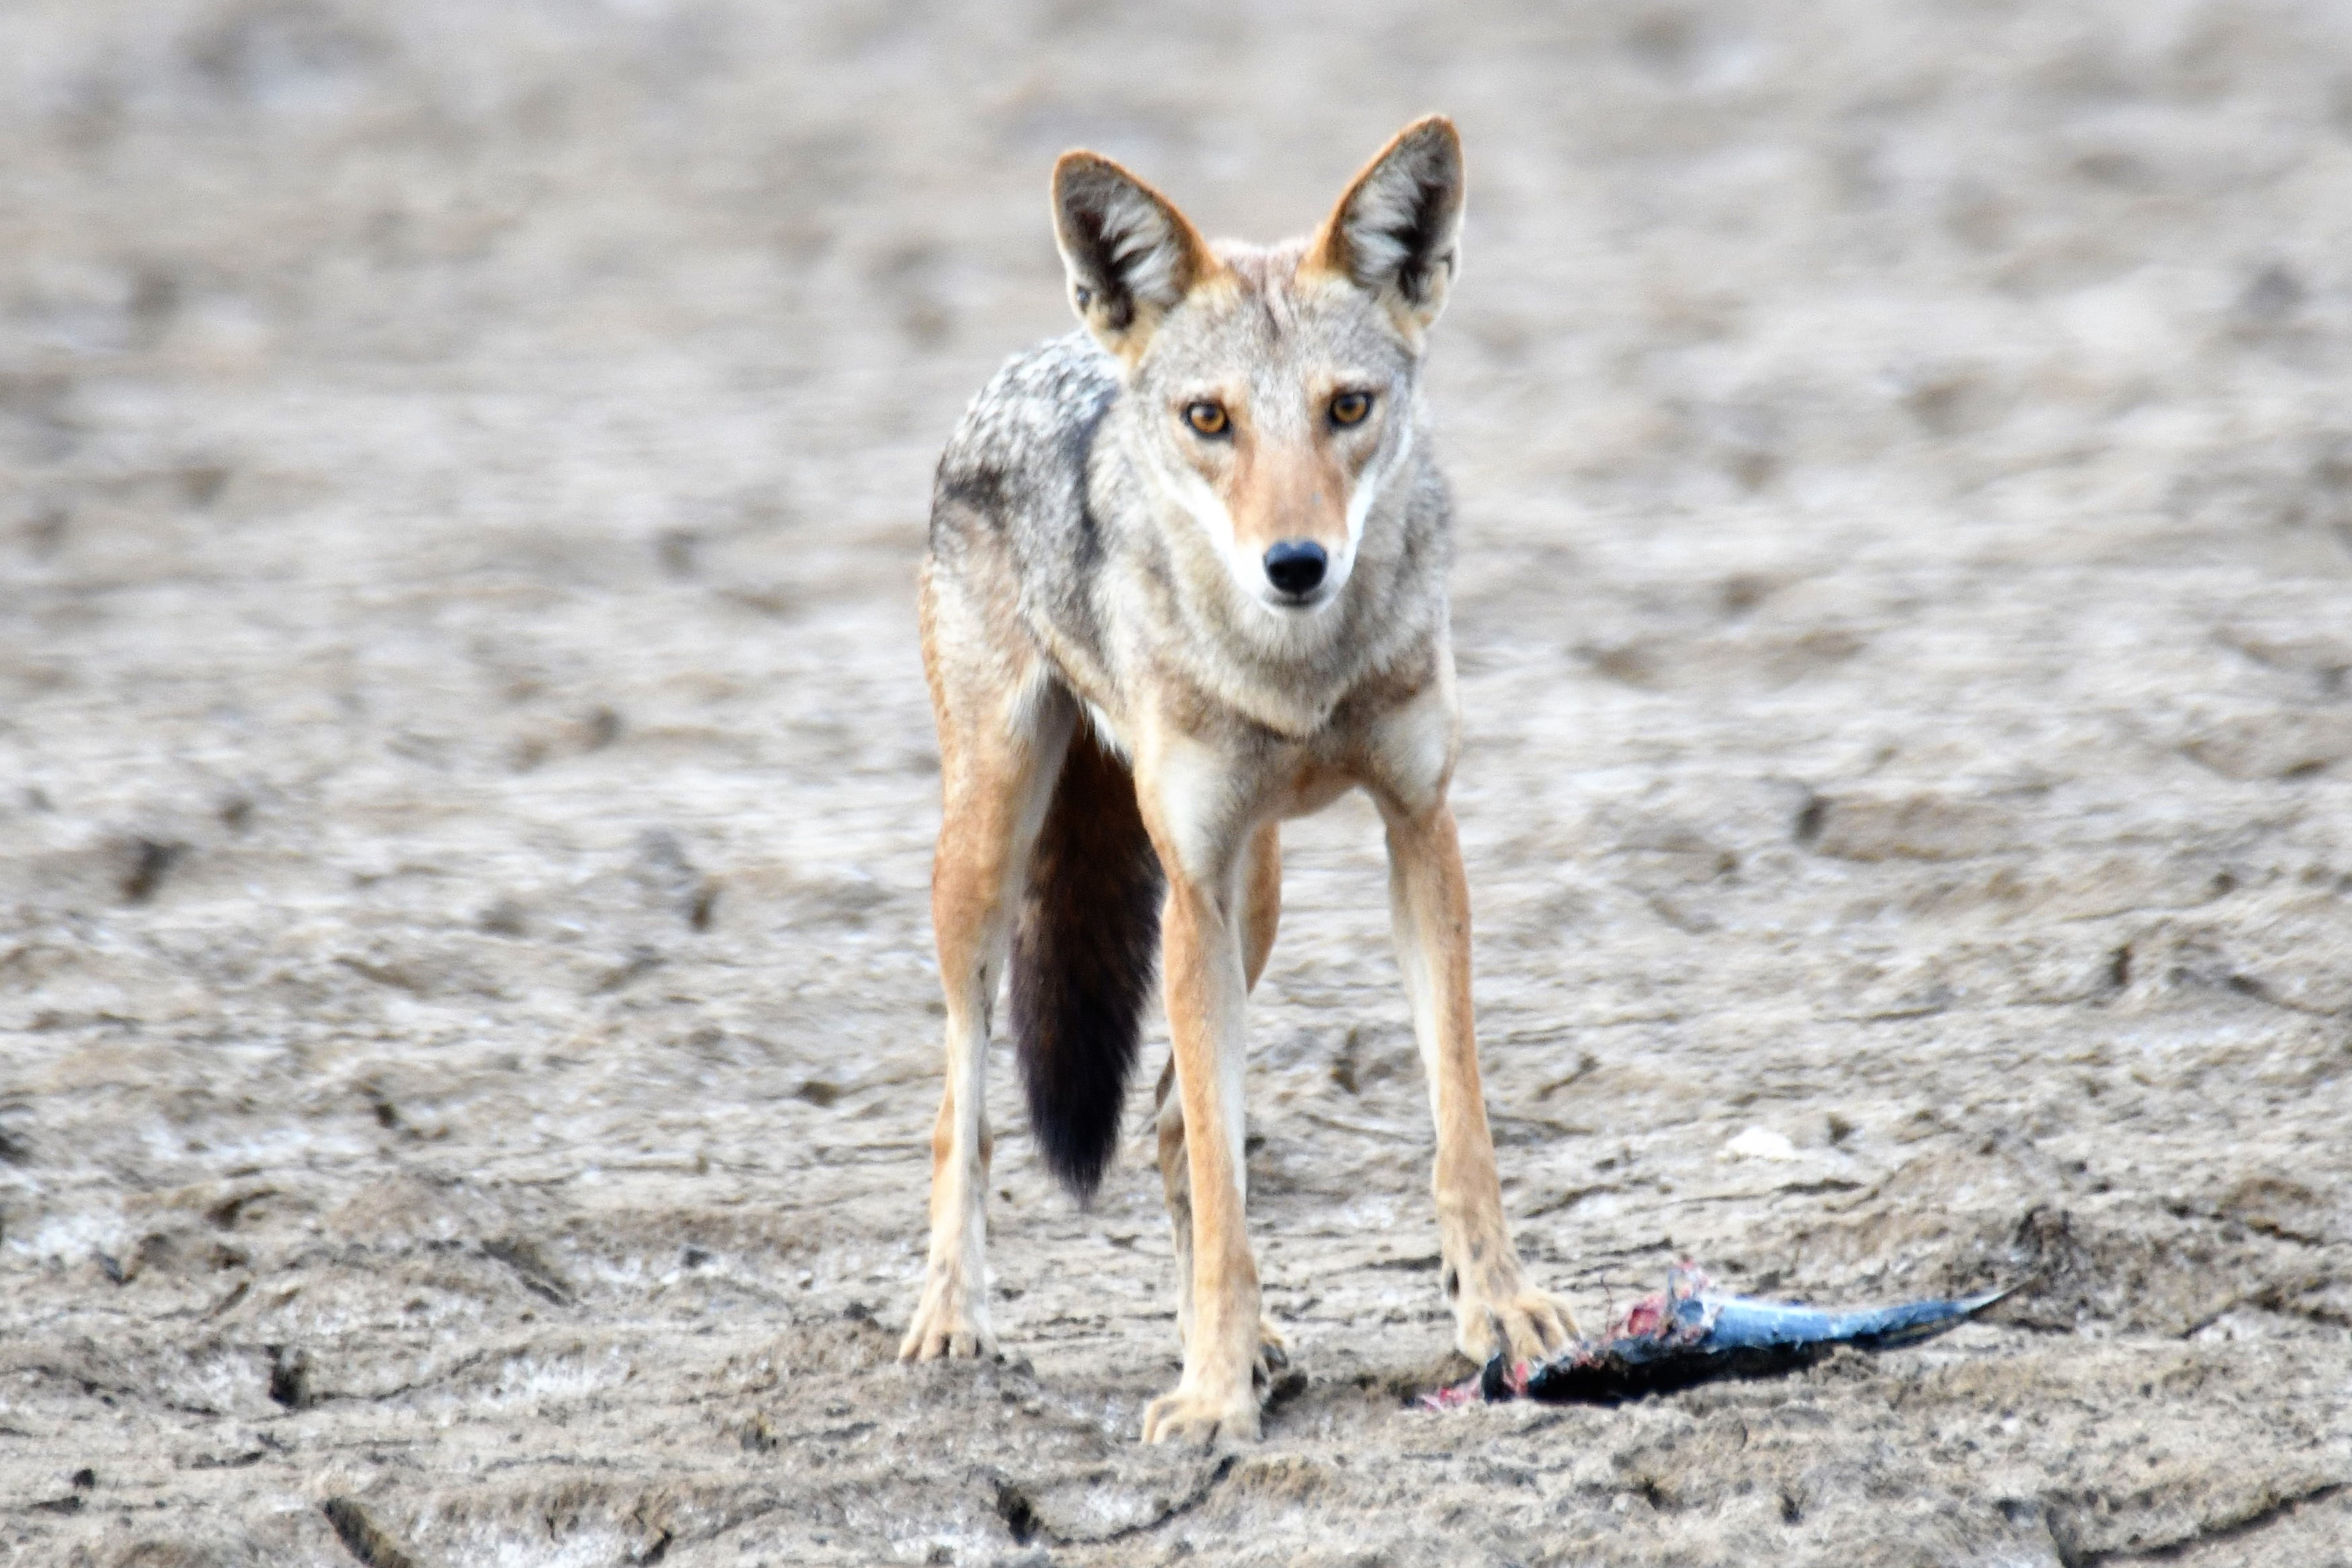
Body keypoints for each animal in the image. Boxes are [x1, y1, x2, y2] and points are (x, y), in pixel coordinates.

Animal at [907, 116, 1570, 1448]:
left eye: (1346, 408)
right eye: (1208, 419)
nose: (1296, 563)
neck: (1296, 678)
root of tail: (1040, 354)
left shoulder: (1417, 833)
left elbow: (1458, 1126)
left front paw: (1497, 1311)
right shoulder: (1193, 885)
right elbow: (1223, 1179)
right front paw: (1210, 1396)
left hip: (1253, 899)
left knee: (1168, 1125)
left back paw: (1256, 1343)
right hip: (997, 859)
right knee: (967, 1106)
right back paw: (953, 1322)